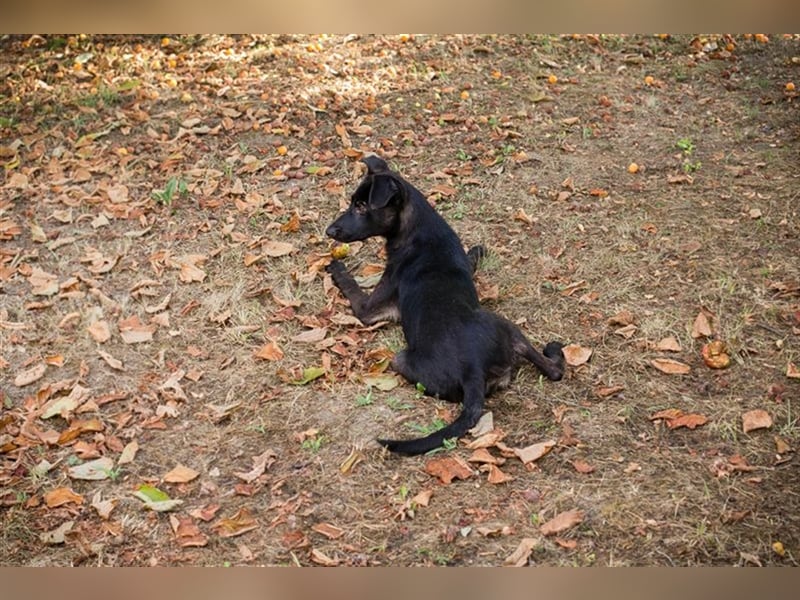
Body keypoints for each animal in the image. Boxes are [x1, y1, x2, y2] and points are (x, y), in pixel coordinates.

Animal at [324, 155, 564, 454]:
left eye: (361, 206)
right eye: (352, 202)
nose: (329, 231)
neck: (420, 230)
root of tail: (473, 369)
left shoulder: (369, 310)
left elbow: (351, 286)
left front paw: (337, 267)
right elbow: (470, 261)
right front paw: (477, 251)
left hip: (401, 358)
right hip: (505, 328)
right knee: (553, 371)